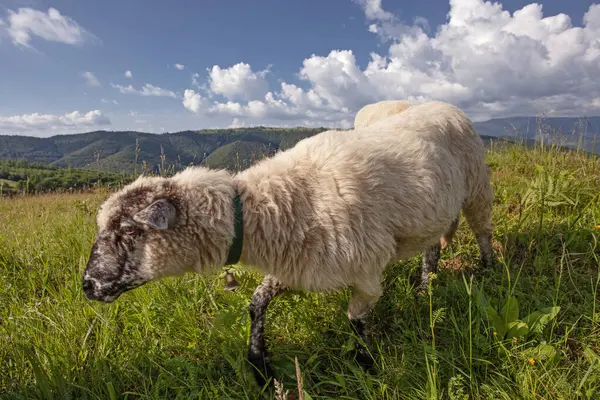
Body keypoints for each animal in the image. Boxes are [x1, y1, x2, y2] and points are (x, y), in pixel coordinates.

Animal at [82, 100, 494, 388]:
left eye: (129, 232)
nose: (86, 286)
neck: (273, 204)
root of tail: (442, 103)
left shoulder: (365, 273)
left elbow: (357, 323)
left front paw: (367, 366)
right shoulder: (294, 263)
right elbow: (256, 304)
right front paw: (259, 364)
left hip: (477, 188)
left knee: (483, 232)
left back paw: (490, 273)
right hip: (435, 211)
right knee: (433, 247)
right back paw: (425, 288)